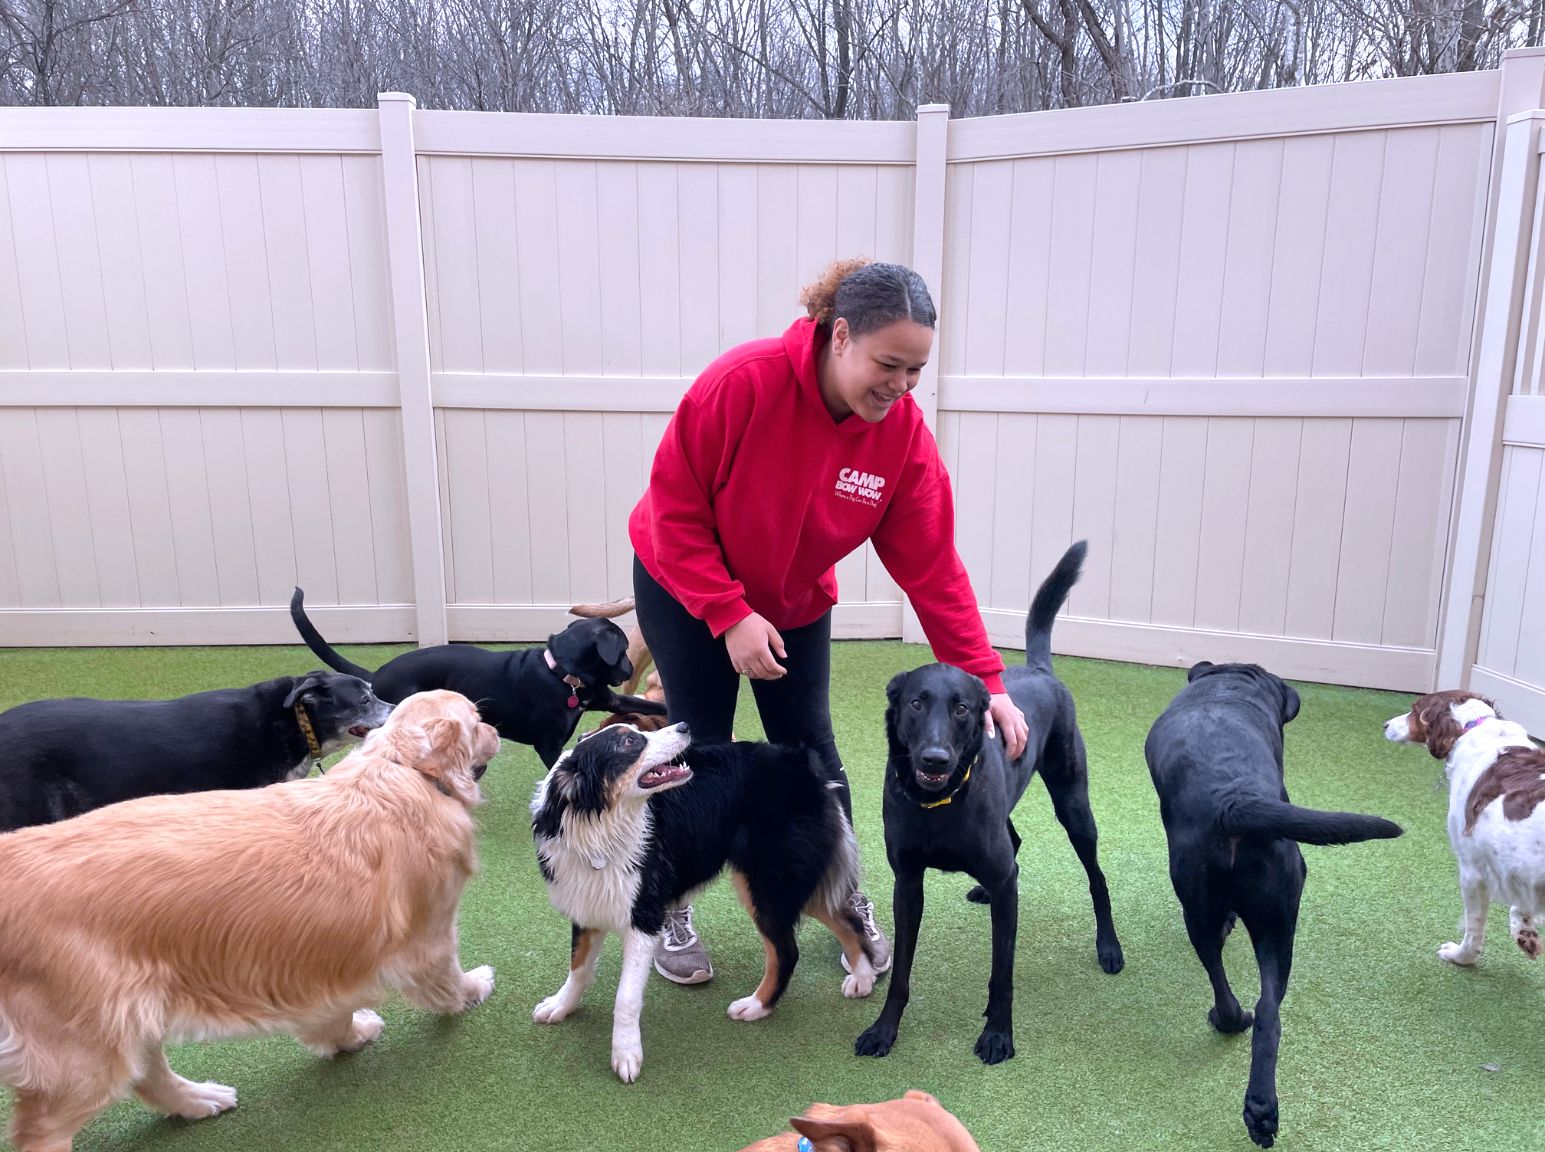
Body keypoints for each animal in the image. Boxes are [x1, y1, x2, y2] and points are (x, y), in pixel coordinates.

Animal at [0, 685, 497, 1142]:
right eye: (475, 721)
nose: (495, 731)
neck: (403, 770)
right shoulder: (429, 936)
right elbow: (447, 980)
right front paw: (473, 989)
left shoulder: (328, 950)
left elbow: (334, 1007)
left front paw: (347, 1036)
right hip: (82, 1049)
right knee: (42, 1129)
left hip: (125, 1012)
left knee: (148, 1072)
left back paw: (197, 1100)